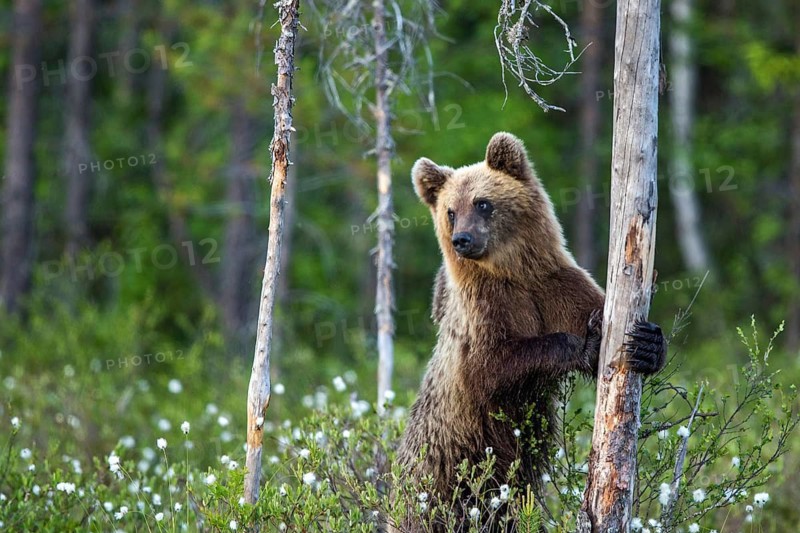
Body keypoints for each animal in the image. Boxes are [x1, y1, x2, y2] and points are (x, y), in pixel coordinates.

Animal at [391, 132, 667, 532]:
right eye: (450, 211)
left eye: (483, 203)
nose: (462, 239)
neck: (511, 272)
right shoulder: (483, 312)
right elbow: (491, 365)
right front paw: (586, 343)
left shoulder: (554, 285)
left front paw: (646, 343)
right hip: (440, 471)